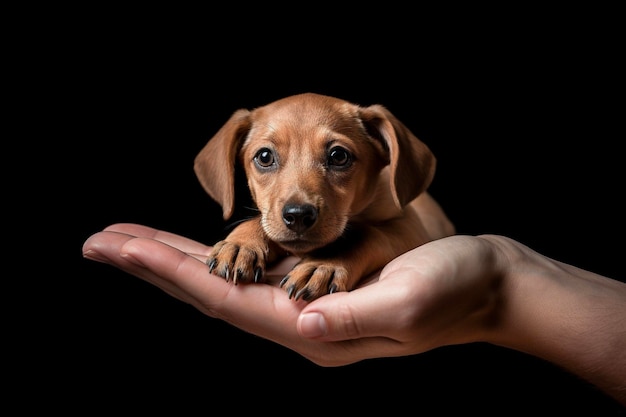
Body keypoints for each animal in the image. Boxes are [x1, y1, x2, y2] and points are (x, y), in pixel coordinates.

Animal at [193, 92, 450, 300]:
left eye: (338, 156)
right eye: (264, 157)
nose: (298, 215)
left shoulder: (411, 227)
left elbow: (368, 234)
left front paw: (326, 263)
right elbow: (261, 221)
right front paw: (241, 244)